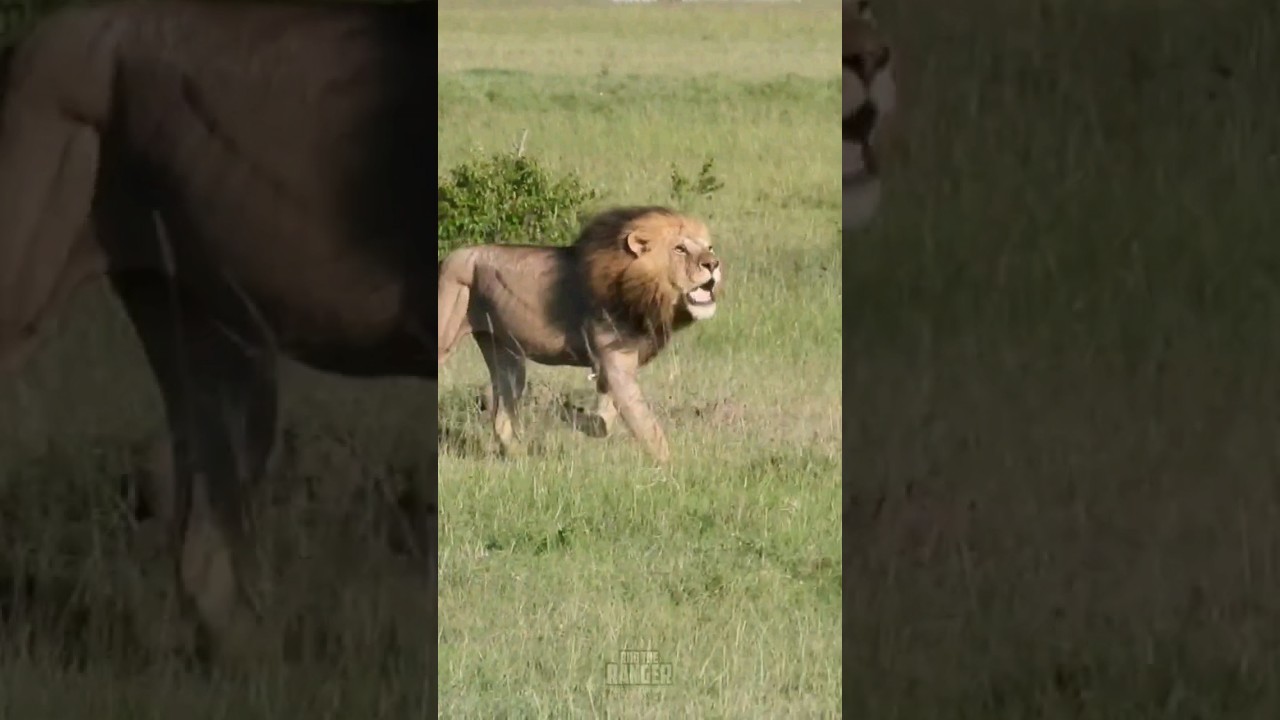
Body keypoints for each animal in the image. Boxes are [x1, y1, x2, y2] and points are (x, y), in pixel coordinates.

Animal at [436, 206, 722, 463]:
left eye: (709, 248)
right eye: (679, 249)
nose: (713, 264)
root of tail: (450, 257)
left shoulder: (613, 368)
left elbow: (605, 422)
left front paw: (576, 417)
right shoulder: (616, 366)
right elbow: (647, 426)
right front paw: (669, 468)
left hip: (505, 351)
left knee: (502, 416)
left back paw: (521, 457)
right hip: (447, 328)